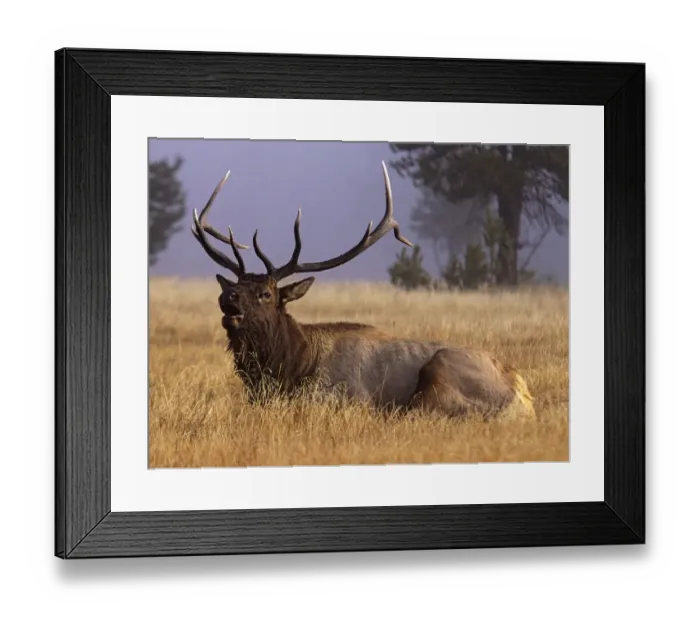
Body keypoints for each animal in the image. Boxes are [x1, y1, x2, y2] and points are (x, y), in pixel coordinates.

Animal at [191, 162, 536, 421]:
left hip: (441, 372)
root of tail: (524, 398)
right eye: (235, 285)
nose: (228, 297)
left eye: (266, 293)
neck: (292, 368)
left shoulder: (347, 397)